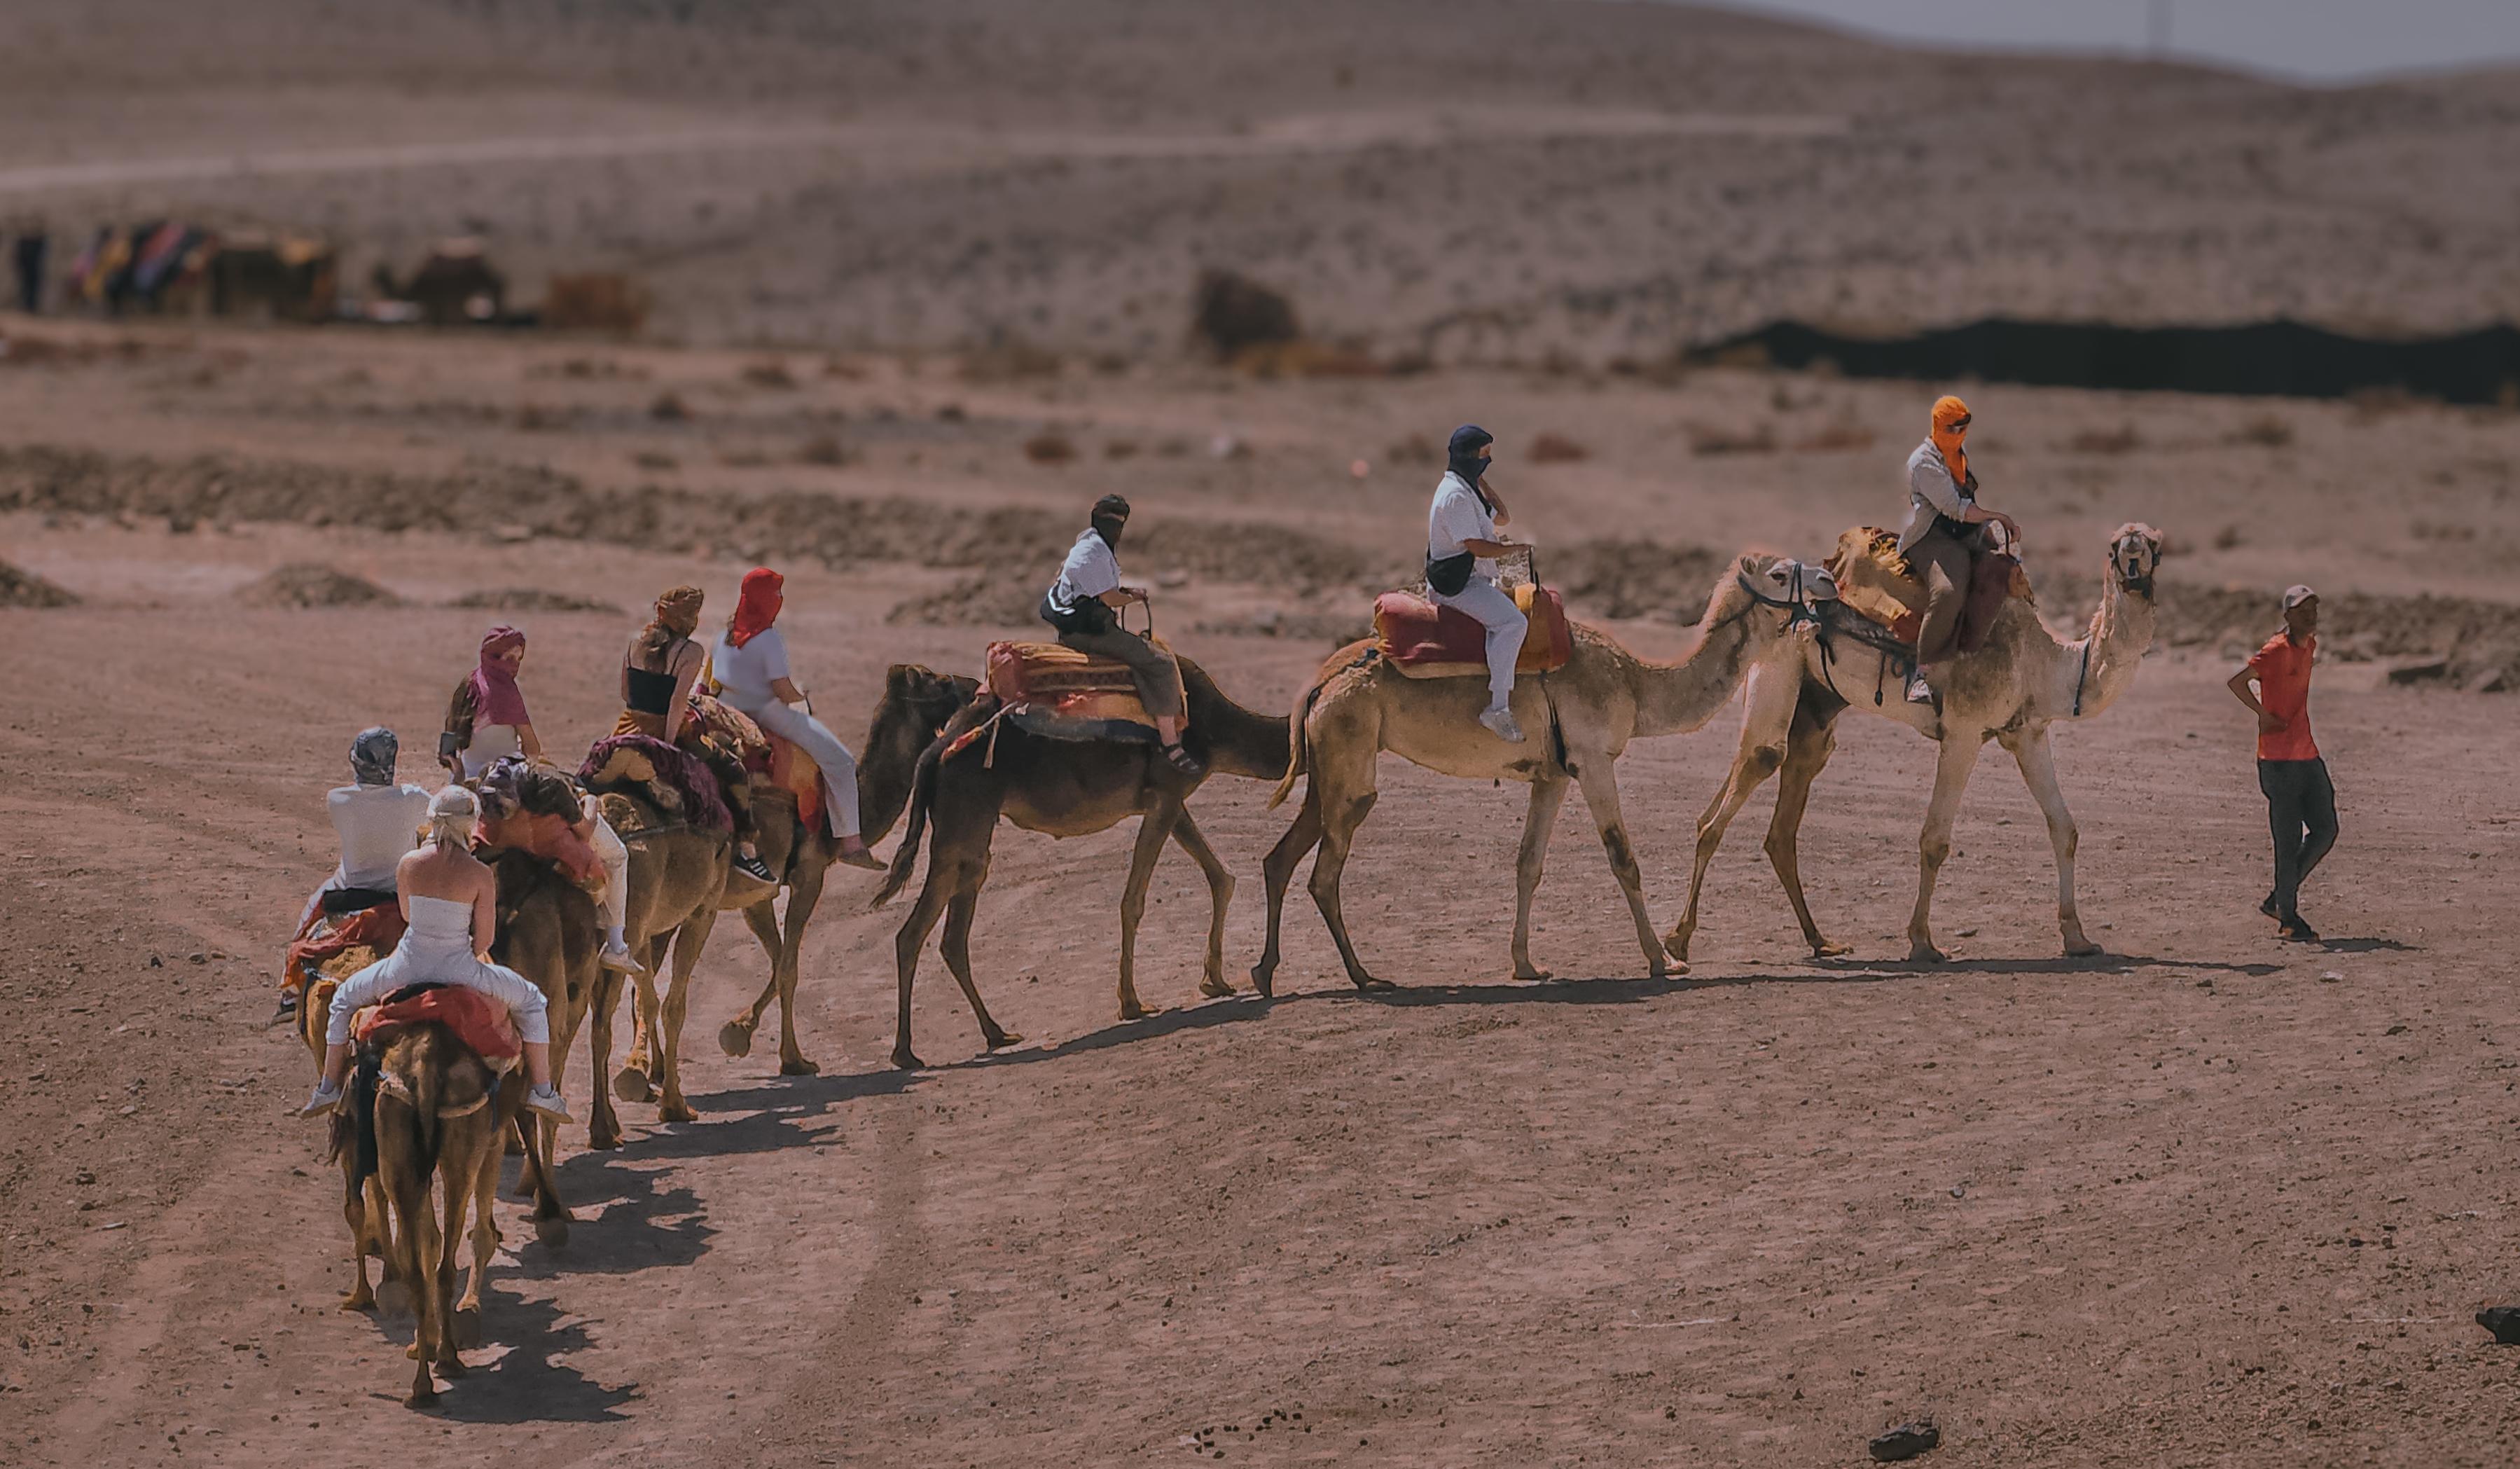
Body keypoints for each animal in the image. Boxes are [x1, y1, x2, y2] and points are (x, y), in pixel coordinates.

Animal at [716, 666, 980, 1074]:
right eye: (936, 680)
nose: (974, 686)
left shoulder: (761, 892)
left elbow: (779, 962)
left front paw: (738, 1032)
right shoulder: (807, 875)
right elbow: (788, 967)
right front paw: (793, 1059)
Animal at [871, 655, 1289, 1070]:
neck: (1217, 727)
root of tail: (936, 749)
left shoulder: (1171, 802)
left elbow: (1221, 877)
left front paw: (1214, 981)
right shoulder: (1167, 795)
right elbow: (1133, 902)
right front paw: (1131, 1003)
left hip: (968, 832)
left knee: (945, 935)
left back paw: (994, 1034)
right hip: (963, 824)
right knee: (918, 932)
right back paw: (909, 1052)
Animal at [1249, 552, 1836, 991]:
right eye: (1779, 574)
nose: (1829, 579)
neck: (1636, 683)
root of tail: (1321, 681)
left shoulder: (1553, 776)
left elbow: (1528, 863)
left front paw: (1527, 964)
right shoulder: (1594, 760)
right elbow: (1624, 859)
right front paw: (1663, 960)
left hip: (1329, 769)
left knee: (1280, 858)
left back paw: (1265, 972)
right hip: (1351, 762)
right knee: (1324, 874)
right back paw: (1364, 976)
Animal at [1664, 522, 2163, 966]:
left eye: (2154, 544)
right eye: (2115, 544)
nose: (2132, 555)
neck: (2043, 664)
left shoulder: (2027, 733)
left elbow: (2064, 828)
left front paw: (2078, 939)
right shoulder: (1964, 733)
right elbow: (1935, 841)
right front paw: (1923, 943)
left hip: (1813, 709)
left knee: (1773, 818)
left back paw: (1820, 942)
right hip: (1776, 668)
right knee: (1747, 780)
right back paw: (1678, 941)